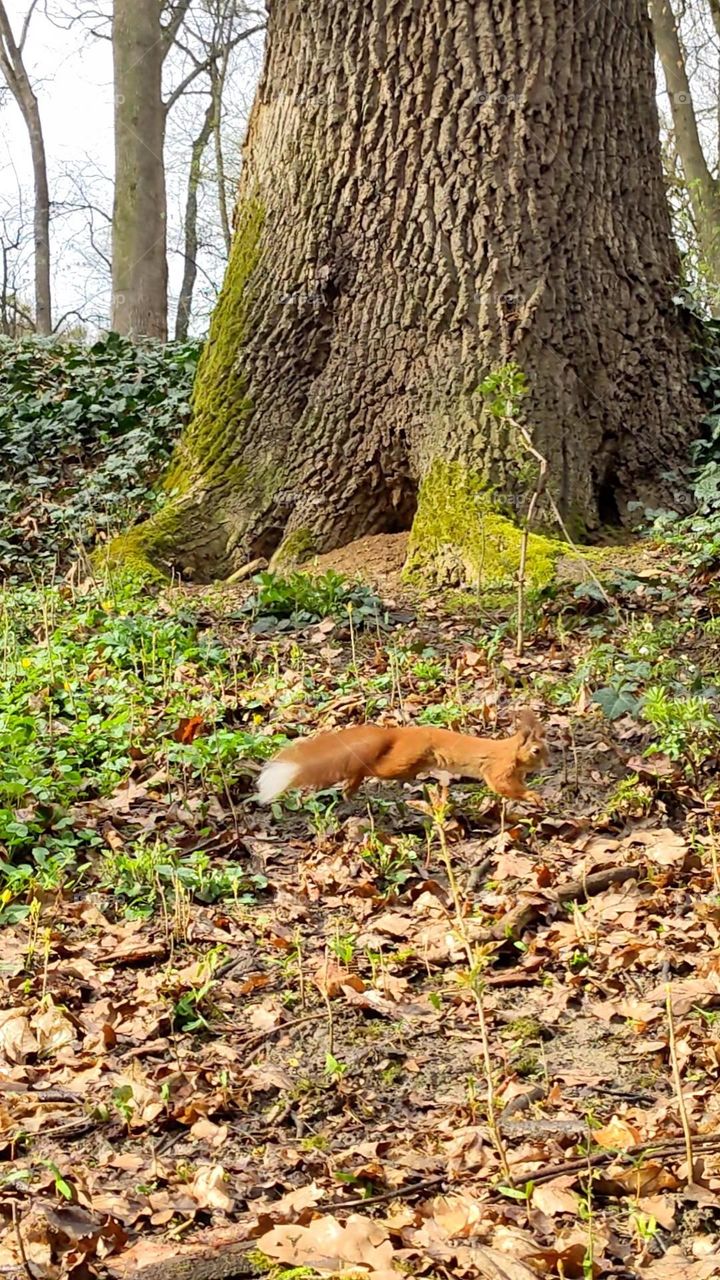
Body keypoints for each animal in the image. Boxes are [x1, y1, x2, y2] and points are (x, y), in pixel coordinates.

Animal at [257, 709, 548, 806]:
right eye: (537, 750)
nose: (547, 764)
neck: (510, 750)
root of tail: (395, 734)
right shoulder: (499, 767)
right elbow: (503, 786)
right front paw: (533, 797)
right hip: (402, 762)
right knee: (370, 767)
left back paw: (350, 789)